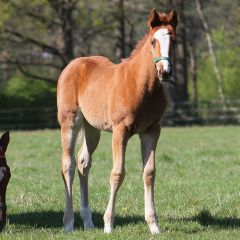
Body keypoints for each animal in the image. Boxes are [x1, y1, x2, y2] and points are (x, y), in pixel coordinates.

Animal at [57, 8, 177, 233]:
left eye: (174, 40)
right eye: (153, 41)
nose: (165, 72)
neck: (141, 86)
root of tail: (73, 64)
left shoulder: (152, 131)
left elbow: (149, 173)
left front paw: (153, 225)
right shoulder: (120, 131)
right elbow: (117, 173)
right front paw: (108, 224)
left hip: (92, 128)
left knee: (83, 162)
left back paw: (88, 222)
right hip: (70, 121)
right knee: (68, 164)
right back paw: (68, 223)